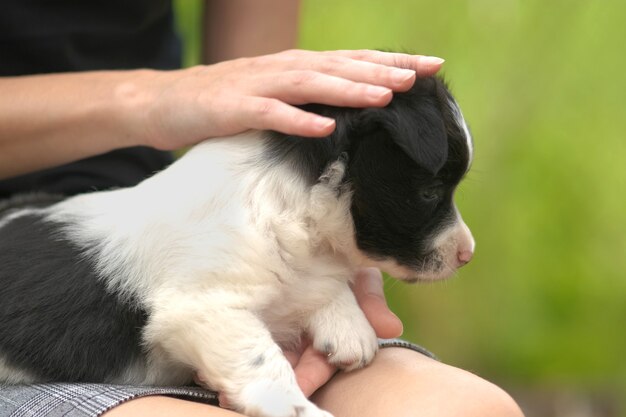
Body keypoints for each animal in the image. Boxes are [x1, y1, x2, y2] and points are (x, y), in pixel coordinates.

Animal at [0, 75, 472, 416]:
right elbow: (261, 360)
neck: (285, 204)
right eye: (429, 192)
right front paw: (297, 407)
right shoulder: (203, 308)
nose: (467, 255)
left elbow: (318, 285)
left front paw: (348, 326)